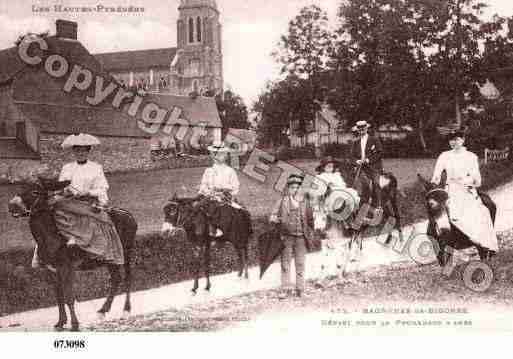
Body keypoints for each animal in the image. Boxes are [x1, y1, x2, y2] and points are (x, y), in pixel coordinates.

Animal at [8, 178, 136, 332]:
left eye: (35, 192)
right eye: (19, 188)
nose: (12, 206)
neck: (52, 236)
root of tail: (128, 214)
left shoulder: (66, 268)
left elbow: (69, 297)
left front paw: (74, 324)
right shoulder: (52, 271)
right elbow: (59, 297)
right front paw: (60, 322)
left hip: (125, 253)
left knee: (127, 278)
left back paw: (126, 310)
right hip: (111, 259)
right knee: (116, 279)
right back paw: (103, 311)